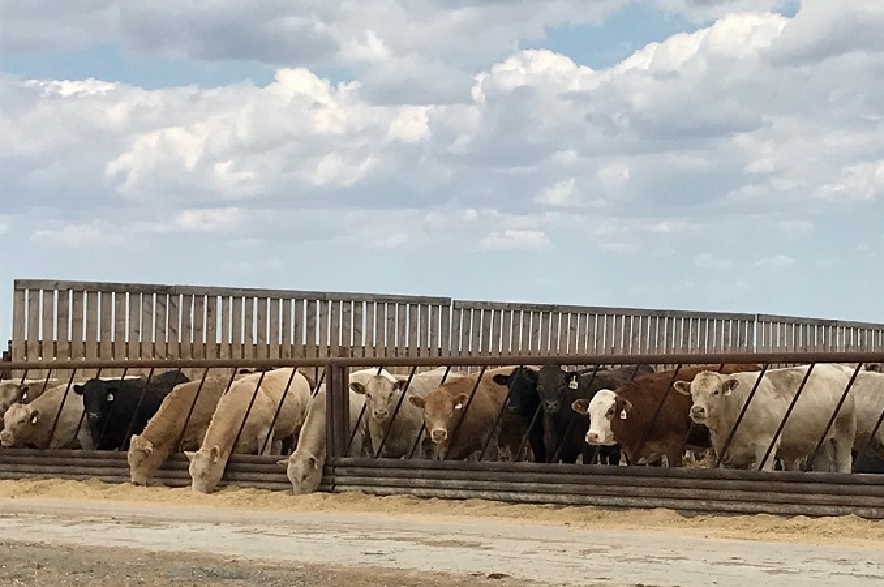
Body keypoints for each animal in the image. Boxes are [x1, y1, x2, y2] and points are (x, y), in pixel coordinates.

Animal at [674, 364, 856, 472]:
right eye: (692, 392)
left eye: (716, 391)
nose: (697, 410)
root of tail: (836, 368)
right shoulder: (725, 453)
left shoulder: (766, 445)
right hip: (821, 442)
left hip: (844, 433)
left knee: (844, 463)